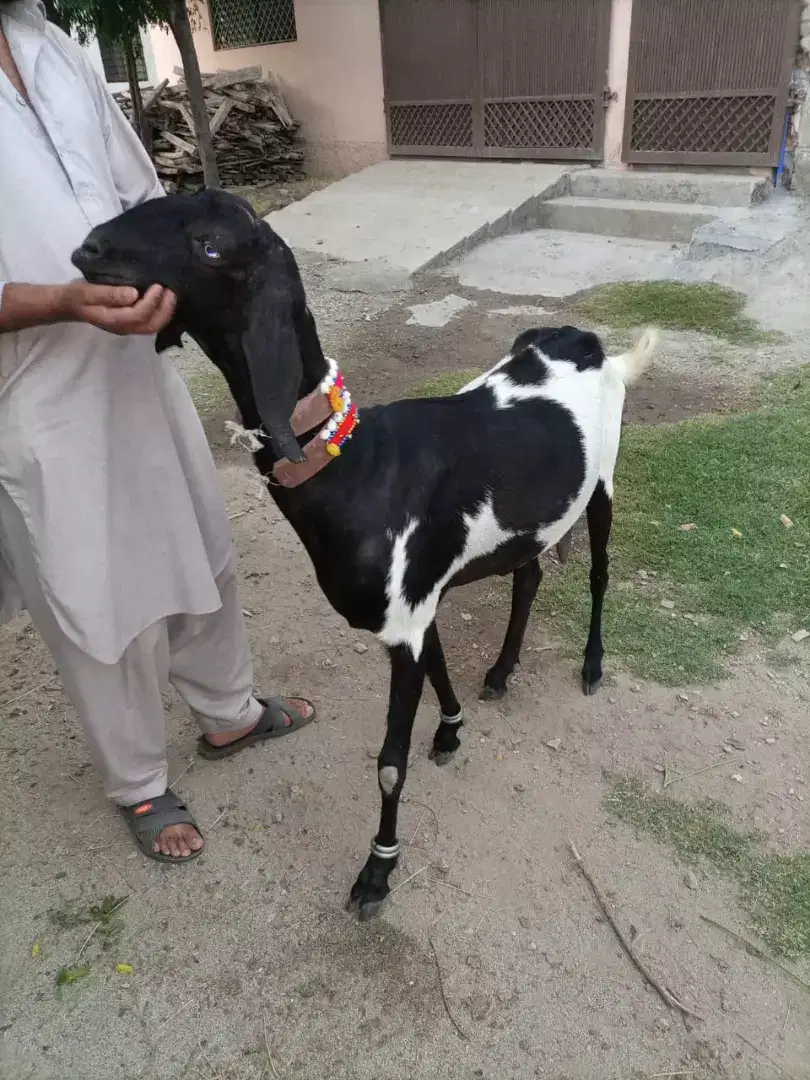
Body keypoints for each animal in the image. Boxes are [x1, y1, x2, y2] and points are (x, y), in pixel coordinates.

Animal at [72, 189, 658, 919]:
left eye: (209, 245)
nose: (87, 250)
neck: (357, 461)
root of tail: (587, 343)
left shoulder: (405, 618)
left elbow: (387, 762)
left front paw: (377, 874)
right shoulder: (416, 605)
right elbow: (439, 667)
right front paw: (453, 728)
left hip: (603, 481)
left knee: (600, 572)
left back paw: (592, 665)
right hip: (528, 522)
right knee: (527, 576)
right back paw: (500, 672)